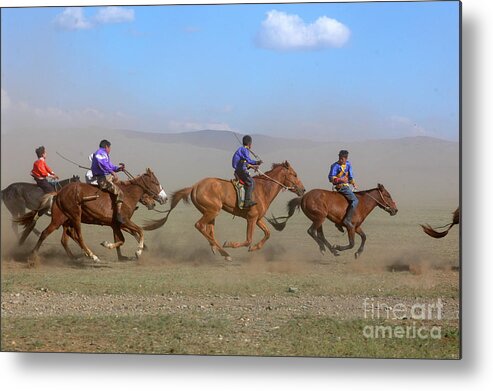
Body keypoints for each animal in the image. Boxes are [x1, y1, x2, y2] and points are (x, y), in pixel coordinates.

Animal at [16, 168, 167, 264]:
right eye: (155, 182)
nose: (163, 199)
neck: (127, 195)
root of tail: (58, 193)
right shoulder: (124, 221)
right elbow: (139, 231)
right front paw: (138, 252)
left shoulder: (115, 224)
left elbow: (121, 239)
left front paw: (118, 253)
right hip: (72, 217)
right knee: (74, 236)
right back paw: (91, 256)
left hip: (64, 219)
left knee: (60, 237)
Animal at [141, 161, 304, 262]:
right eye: (295, 174)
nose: (303, 189)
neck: (263, 189)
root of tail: (194, 187)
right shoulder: (251, 218)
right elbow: (248, 239)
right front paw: (231, 244)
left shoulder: (258, 219)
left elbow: (268, 233)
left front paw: (255, 248)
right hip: (212, 211)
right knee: (200, 226)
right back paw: (225, 252)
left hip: (210, 212)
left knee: (209, 230)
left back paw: (217, 249)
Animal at [268, 185, 398, 258]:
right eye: (388, 195)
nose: (395, 210)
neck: (361, 203)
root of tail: (303, 197)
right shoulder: (350, 227)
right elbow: (352, 243)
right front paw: (338, 247)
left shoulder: (356, 227)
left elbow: (364, 237)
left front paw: (358, 253)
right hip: (320, 218)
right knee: (311, 231)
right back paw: (324, 248)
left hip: (318, 219)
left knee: (319, 234)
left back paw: (332, 250)